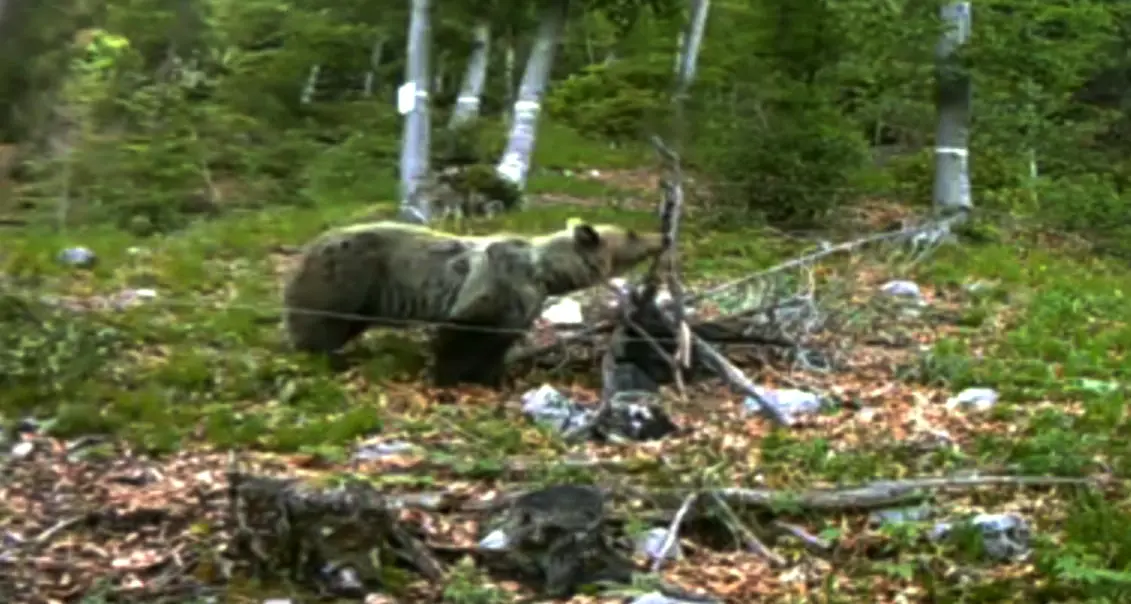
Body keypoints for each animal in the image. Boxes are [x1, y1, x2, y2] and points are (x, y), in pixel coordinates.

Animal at [281, 218, 665, 387]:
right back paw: (323, 357)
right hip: (344, 279)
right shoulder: (496, 282)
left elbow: (496, 344)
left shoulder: (520, 305)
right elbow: (463, 331)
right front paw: (447, 378)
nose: (661, 236)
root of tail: (305, 247)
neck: (545, 273)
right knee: (319, 324)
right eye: (631, 233)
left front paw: (493, 378)